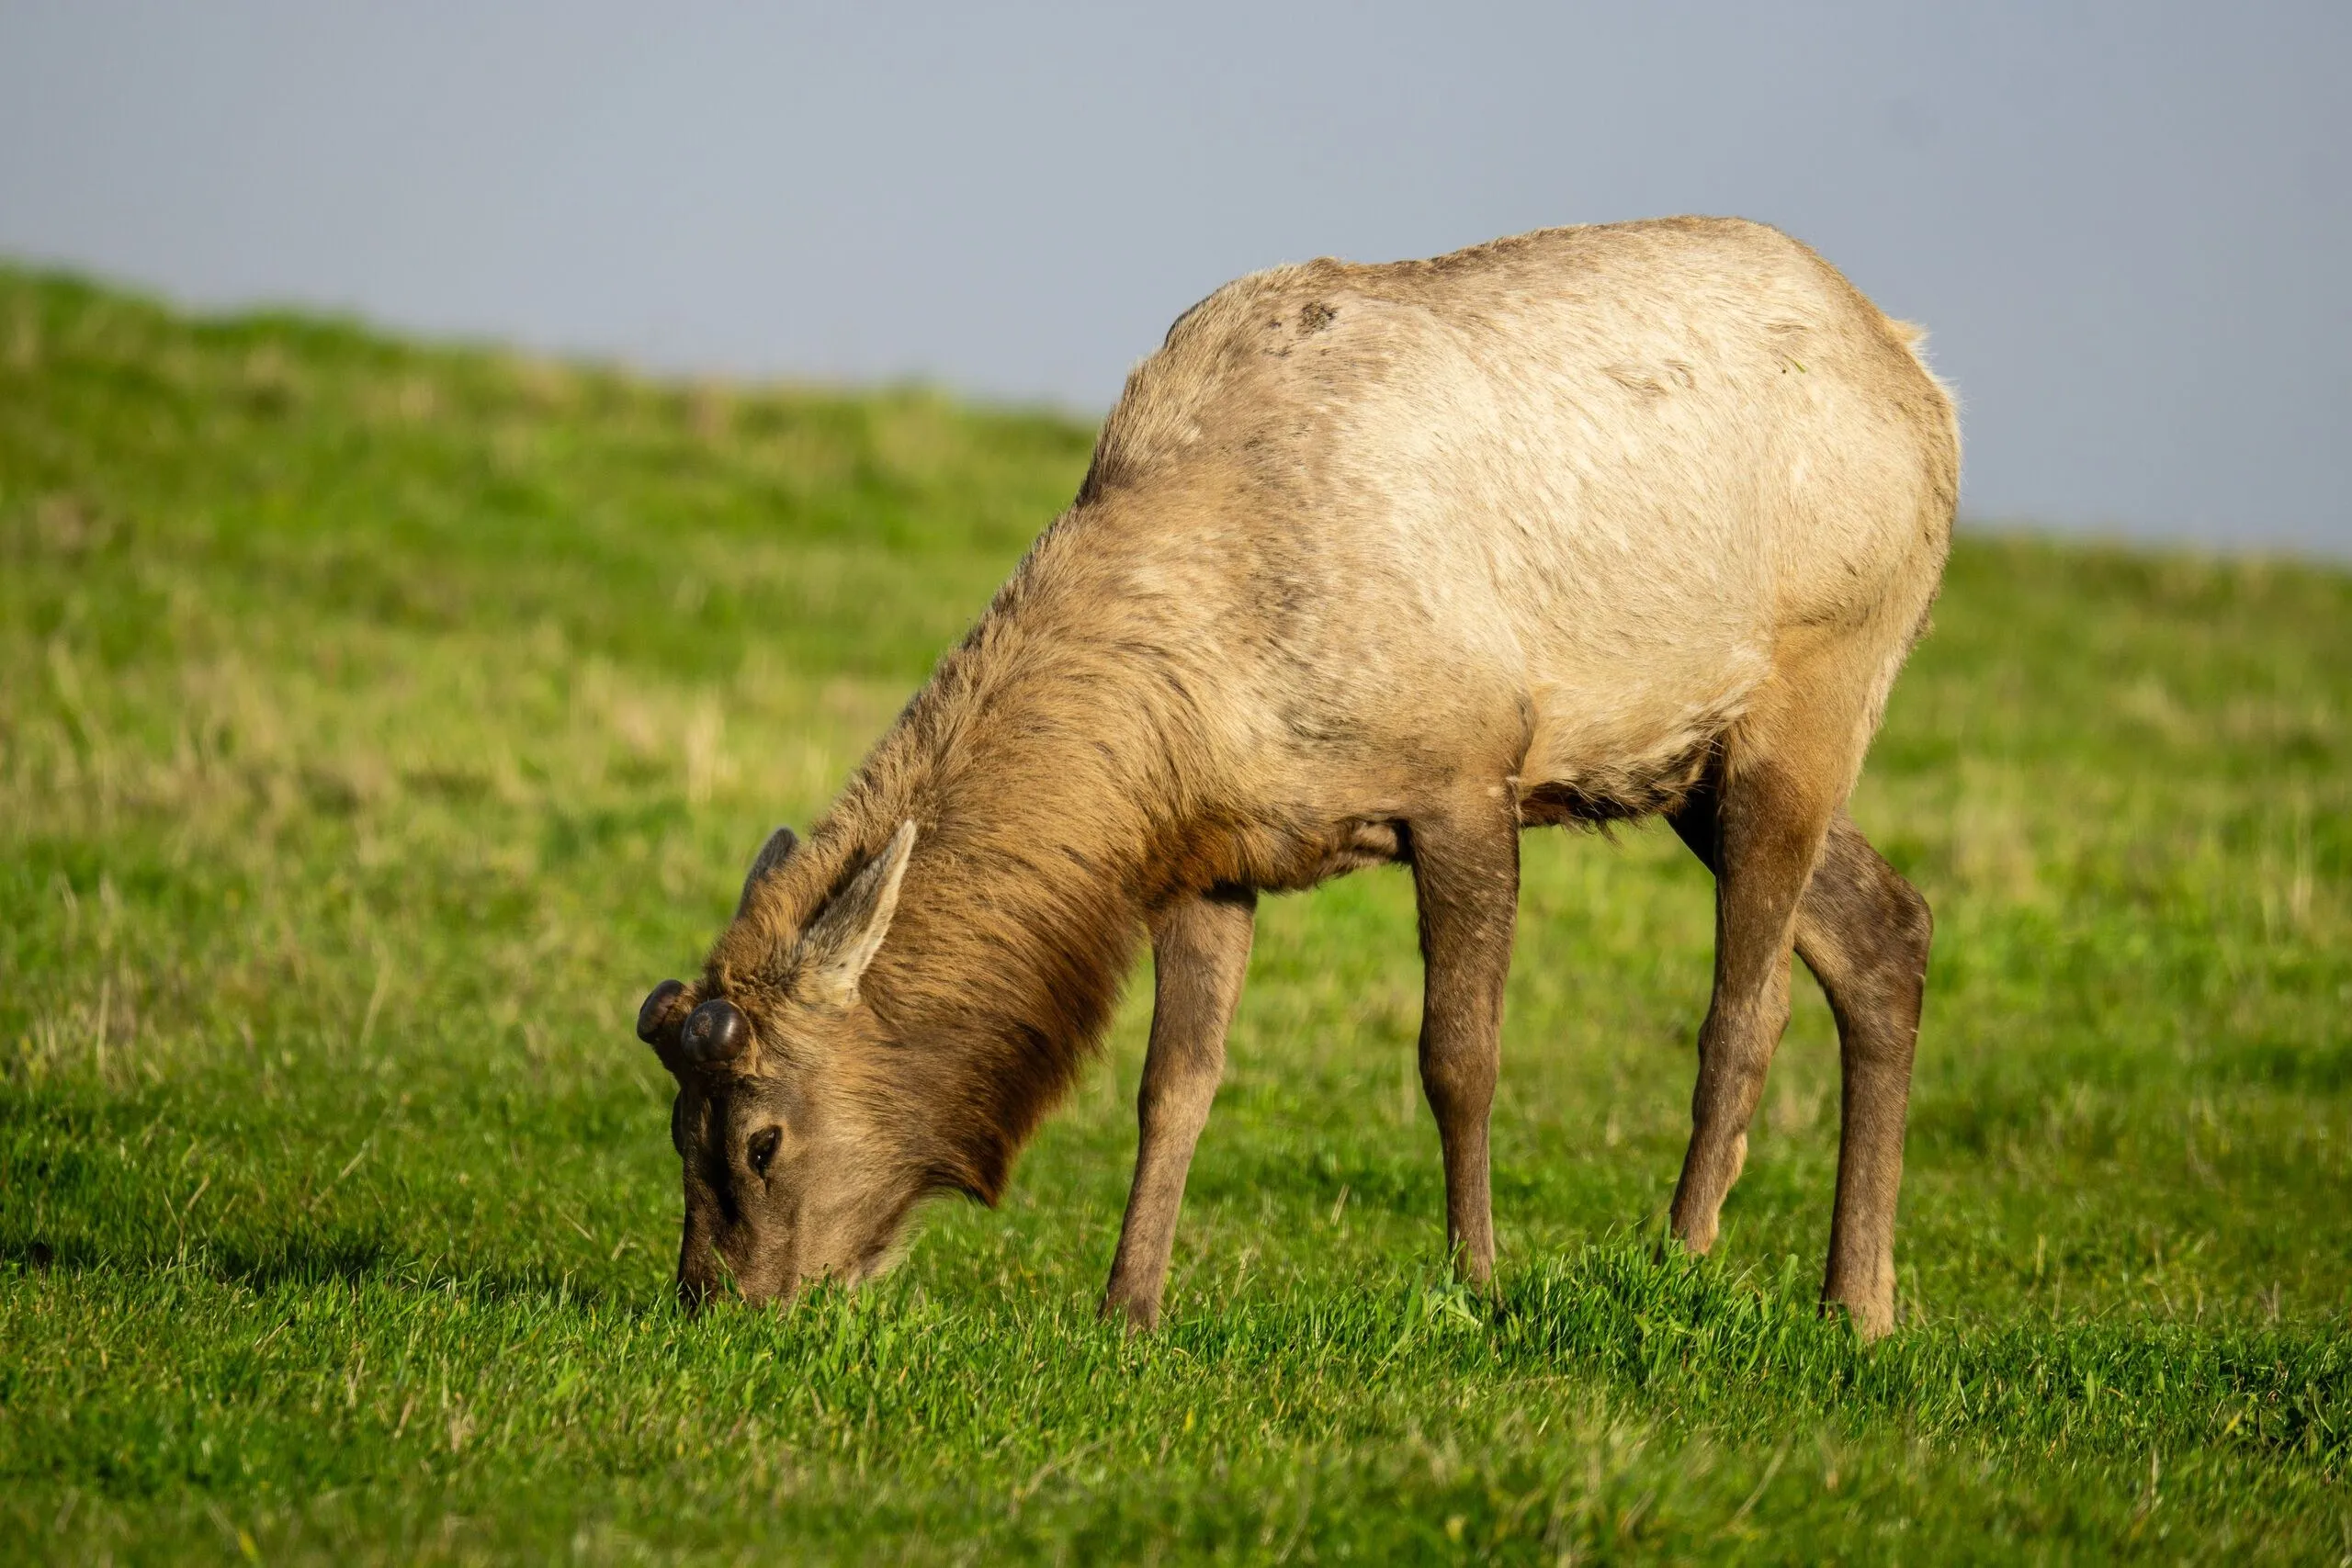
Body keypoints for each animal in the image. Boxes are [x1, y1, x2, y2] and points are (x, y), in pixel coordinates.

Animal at [635, 216, 1957, 1340]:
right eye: (673, 1127)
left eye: (759, 1137)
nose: (714, 1303)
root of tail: (1924, 380)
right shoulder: (1211, 856)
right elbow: (1173, 1083)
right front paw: (1129, 1305)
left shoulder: (1467, 773)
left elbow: (1458, 1058)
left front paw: (1477, 1283)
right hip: (1689, 764)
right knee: (1886, 926)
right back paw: (1861, 1303)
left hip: (1819, 684)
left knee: (1749, 1003)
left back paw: (1683, 1255)